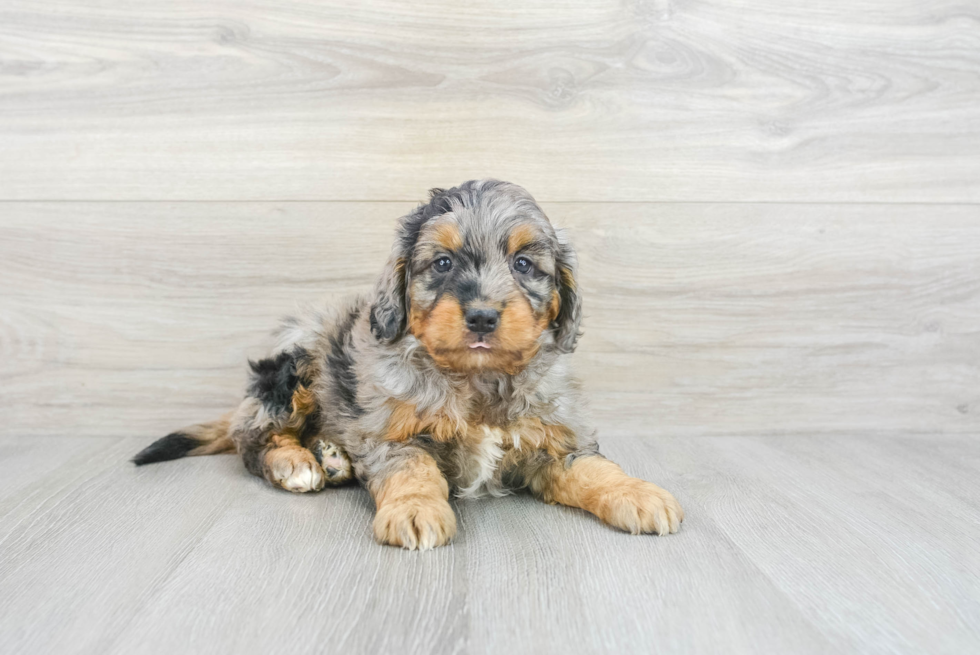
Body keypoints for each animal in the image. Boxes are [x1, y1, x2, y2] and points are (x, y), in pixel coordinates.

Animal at [134, 178, 684, 548]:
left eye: (524, 264)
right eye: (442, 263)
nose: (482, 316)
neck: (477, 379)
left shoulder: (556, 441)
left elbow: (593, 467)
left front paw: (639, 493)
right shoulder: (393, 435)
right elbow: (413, 470)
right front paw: (415, 510)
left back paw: (332, 458)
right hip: (297, 365)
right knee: (254, 439)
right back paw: (298, 463)